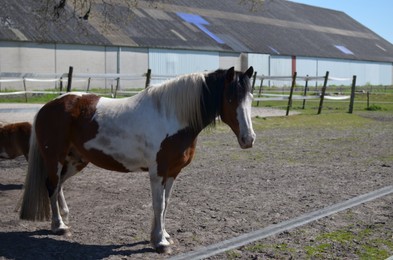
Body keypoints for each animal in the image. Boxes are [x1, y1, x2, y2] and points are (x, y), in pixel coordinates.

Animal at [19, 66, 256, 253]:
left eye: (250, 99)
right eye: (230, 99)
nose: (249, 139)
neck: (171, 116)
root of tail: (47, 106)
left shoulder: (173, 172)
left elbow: (165, 204)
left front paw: (162, 235)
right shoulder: (157, 172)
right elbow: (158, 204)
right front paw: (160, 242)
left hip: (76, 161)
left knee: (59, 185)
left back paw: (64, 218)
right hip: (55, 158)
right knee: (51, 186)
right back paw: (59, 226)